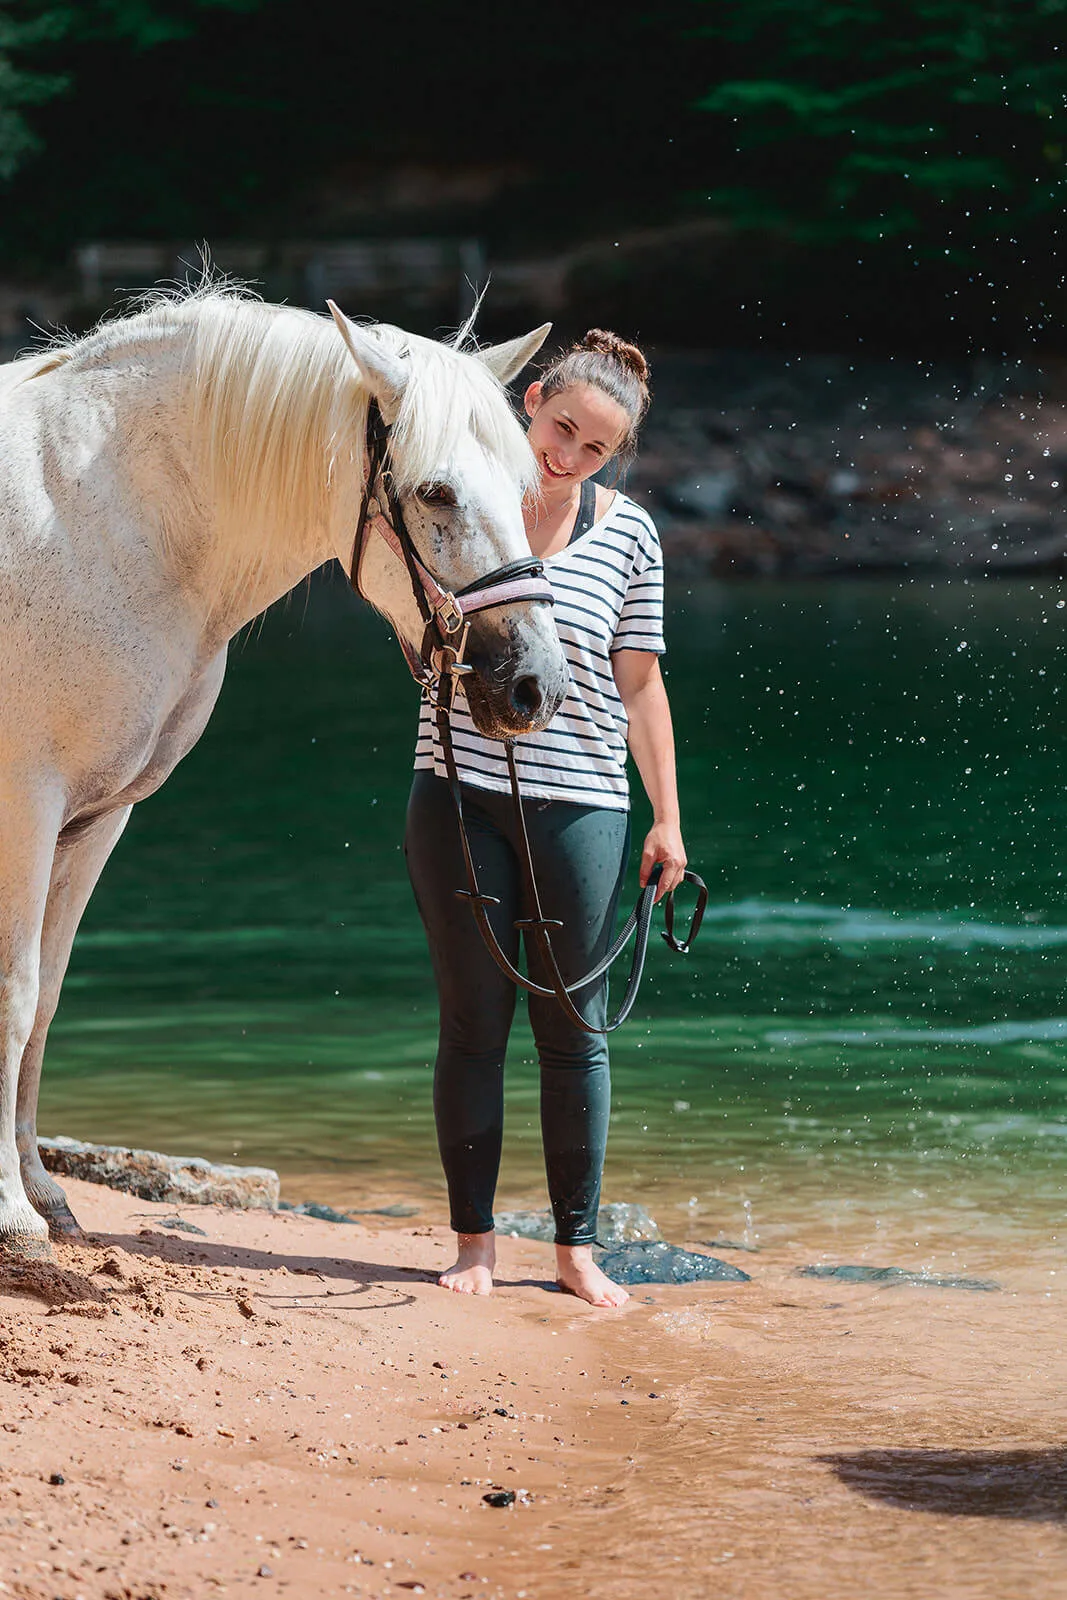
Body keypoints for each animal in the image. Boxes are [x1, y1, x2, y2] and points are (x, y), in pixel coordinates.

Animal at [0, 286, 568, 1260]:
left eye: (523, 489)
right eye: (436, 491)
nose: (533, 684)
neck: (89, 518)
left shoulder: (97, 815)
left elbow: (46, 995)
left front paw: (42, 1194)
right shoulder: (27, 804)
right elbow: (16, 989)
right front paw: (10, 1213)